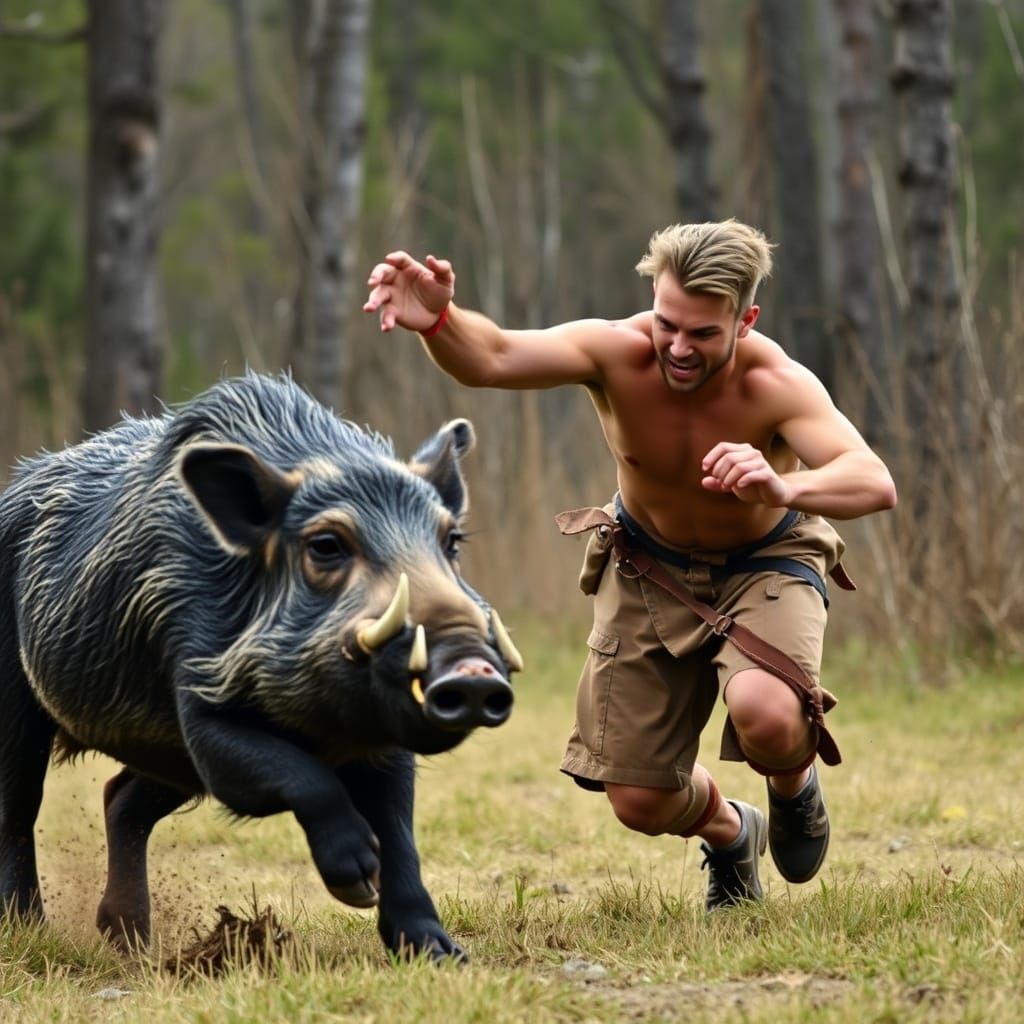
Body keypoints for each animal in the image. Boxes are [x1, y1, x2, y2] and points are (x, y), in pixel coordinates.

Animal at [0, 372, 521, 961]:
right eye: (326, 544)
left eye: (450, 541)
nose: (472, 671)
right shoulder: (202, 707)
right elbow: (300, 774)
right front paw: (357, 880)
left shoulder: (384, 739)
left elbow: (400, 833)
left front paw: (442, 954)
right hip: (19, 703)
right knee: (19, 808)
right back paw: (29, 930)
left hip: (164, 758)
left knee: (120, 799)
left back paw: (132, 943)